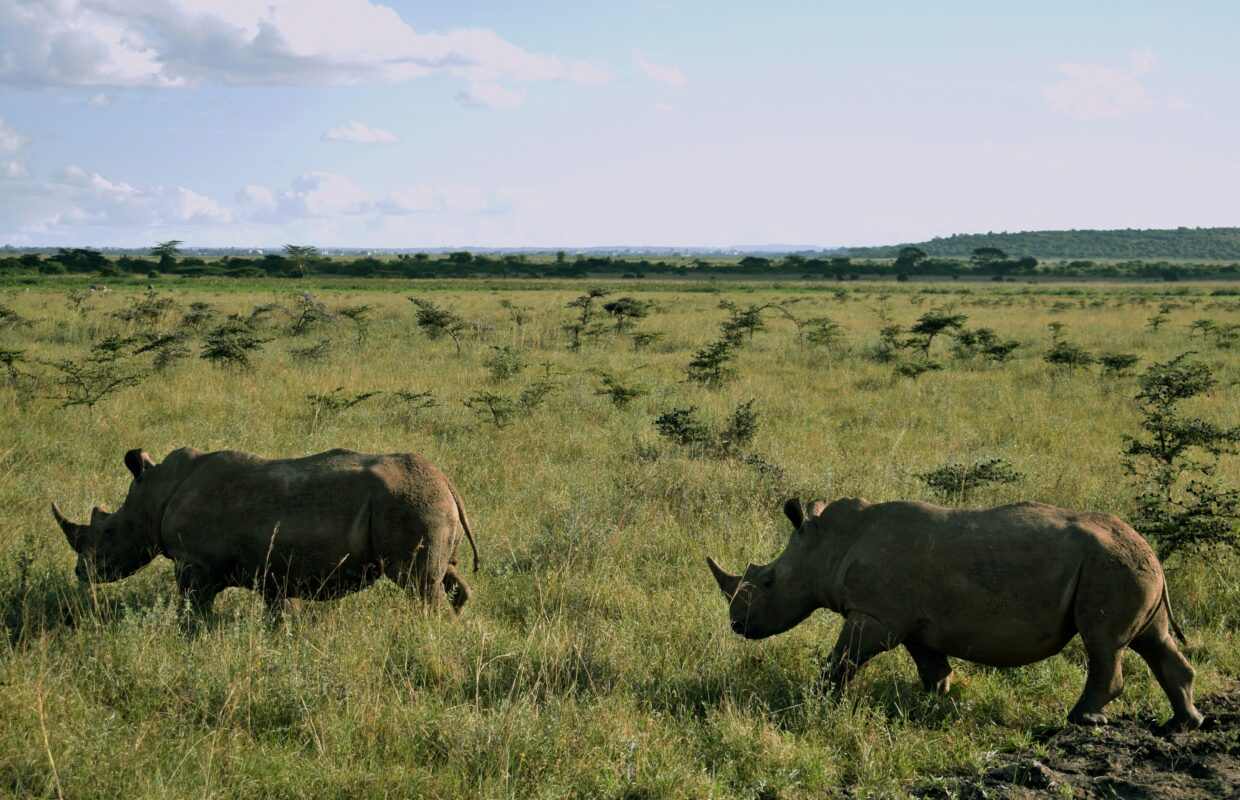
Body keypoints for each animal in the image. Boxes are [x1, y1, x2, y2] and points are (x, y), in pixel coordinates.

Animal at [53, 447, 479, 614]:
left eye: (109, 532)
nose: (79, 573)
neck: (155, 496)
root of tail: (446, 481)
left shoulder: (195, 564)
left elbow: (192, 610)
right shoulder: (274, 571)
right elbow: (277, 613)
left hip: (408, 504)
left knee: (419, 585)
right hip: (425, 505)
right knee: (443, 577)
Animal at [707, 497, 1203, 731]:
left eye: (768, 583)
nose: (737, 626)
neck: (829, 544)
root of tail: (1150, 550)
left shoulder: (875, 616)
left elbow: (842, 659)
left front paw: (818, 701)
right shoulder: (909, 621)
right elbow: (931, 665)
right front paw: (934, 700)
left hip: (1110, 566)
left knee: (1103, 644)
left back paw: (1082, 719)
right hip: (1128, 566)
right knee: (1152, 640)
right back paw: (1184, 723)